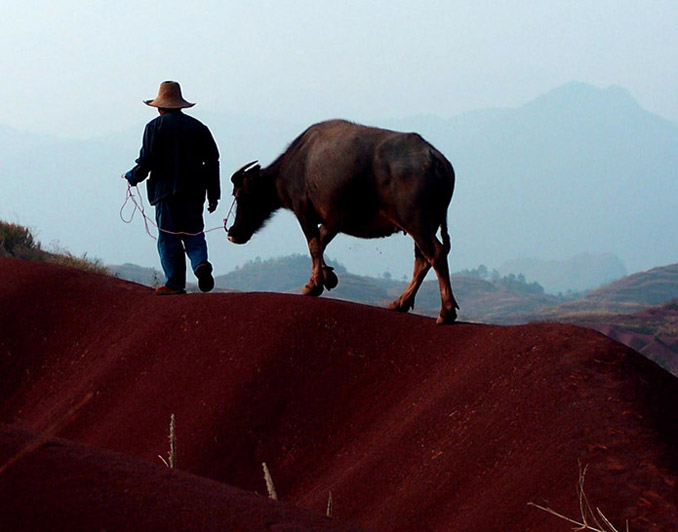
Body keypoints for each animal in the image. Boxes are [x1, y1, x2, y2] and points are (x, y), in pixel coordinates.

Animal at [228, 118, 462, 322]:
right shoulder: (332, 221)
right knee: (422, 261)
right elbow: (321, 242)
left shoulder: (303, 209)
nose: (232, 233)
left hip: (416, 223)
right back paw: (400, 303)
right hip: (426, 225)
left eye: (241, 194)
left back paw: (446, 311)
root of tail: (435, 159)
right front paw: (326, 277)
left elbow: (313, 245)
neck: (295, 163)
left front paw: (313, 286)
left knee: (436, 254)